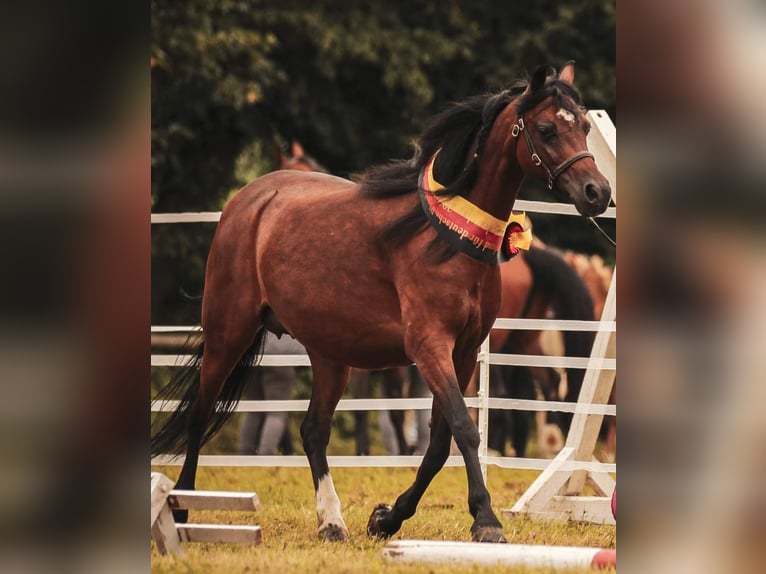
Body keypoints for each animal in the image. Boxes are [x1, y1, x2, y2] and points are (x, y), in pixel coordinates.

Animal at [152, 64, 612, 544]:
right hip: (229, 332)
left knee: (313, 430)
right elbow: (464, 430)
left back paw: (331, 521)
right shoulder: (429, 348)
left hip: (329, 355)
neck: (447, 240)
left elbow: (438, 445)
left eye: (583, 126)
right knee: (200, 417)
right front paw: (485, 520)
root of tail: (248, 200)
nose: (597, 192)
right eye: (546, 129)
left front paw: (387, 517)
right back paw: (183, 510)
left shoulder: (464, 354)